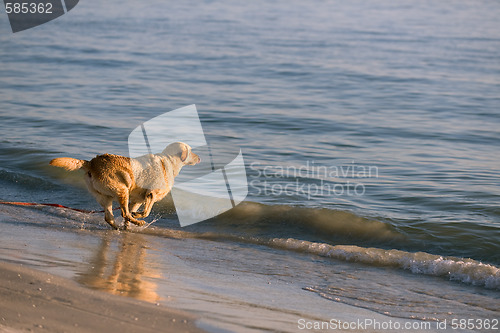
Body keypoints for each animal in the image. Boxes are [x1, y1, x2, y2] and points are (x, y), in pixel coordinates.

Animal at [49, 141, 200, 230]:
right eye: (191, 151)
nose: (199, 158)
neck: (169, 161)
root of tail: (91, 163)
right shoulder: (151, 194)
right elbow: (146, 212)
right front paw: (137, 217)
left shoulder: (138, 200)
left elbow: (136, 210)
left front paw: (129, 224)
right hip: (122, 189)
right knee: (124, 212)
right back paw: (137, 223)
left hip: (106, 196)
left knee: (110, 217)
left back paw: (118, 227)